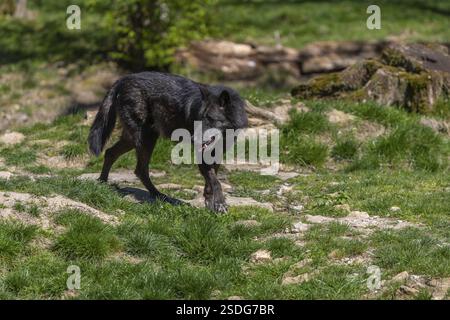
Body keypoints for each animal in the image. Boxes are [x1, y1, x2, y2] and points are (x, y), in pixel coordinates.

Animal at [87, 72, 250, 212]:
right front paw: (220, 204)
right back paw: (159, 195)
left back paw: (102, 183)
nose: (193, 138)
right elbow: (215, 181)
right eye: (199, 118)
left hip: (133, 140)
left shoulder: (217, 154)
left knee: (110, 153)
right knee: (140, 169)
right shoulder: (201, 154)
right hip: (145, 139)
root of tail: (123, 79)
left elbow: (211, 181)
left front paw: (211, 203)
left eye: (210, 119)